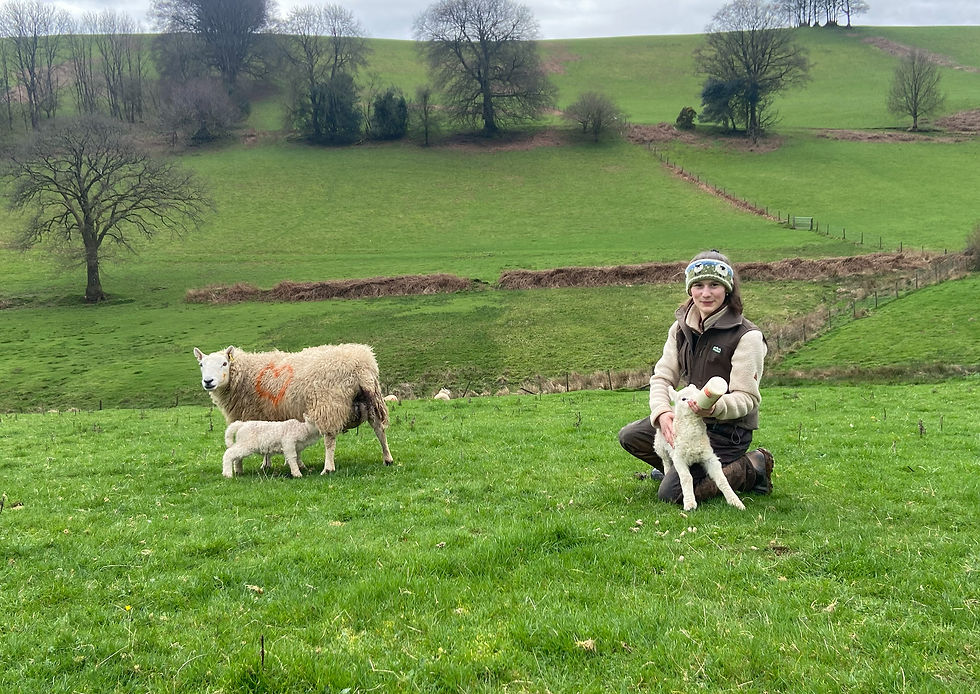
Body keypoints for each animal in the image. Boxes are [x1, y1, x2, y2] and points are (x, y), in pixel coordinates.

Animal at [194, 344, 393, 474]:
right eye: (201, 365)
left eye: (224, 363)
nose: (208, 381)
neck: (244, 377)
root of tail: (362, 364)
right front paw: (290, 463)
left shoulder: (254, 414)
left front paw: (264, 465)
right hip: (371, 402)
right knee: (379, 430)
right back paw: (388, 459)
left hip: (328, 404)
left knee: (329, 439)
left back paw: (328, 468)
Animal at [654, 384, 745, 512]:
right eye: (683, 399)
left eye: (698, 392)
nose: (695, 401)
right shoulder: (679, 457)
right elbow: (686, 478)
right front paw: (690, 504)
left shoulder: (709, 457)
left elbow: (722, 479)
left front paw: (735, 501)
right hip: (661, 446)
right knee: (666, 461)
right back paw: (666, 472)